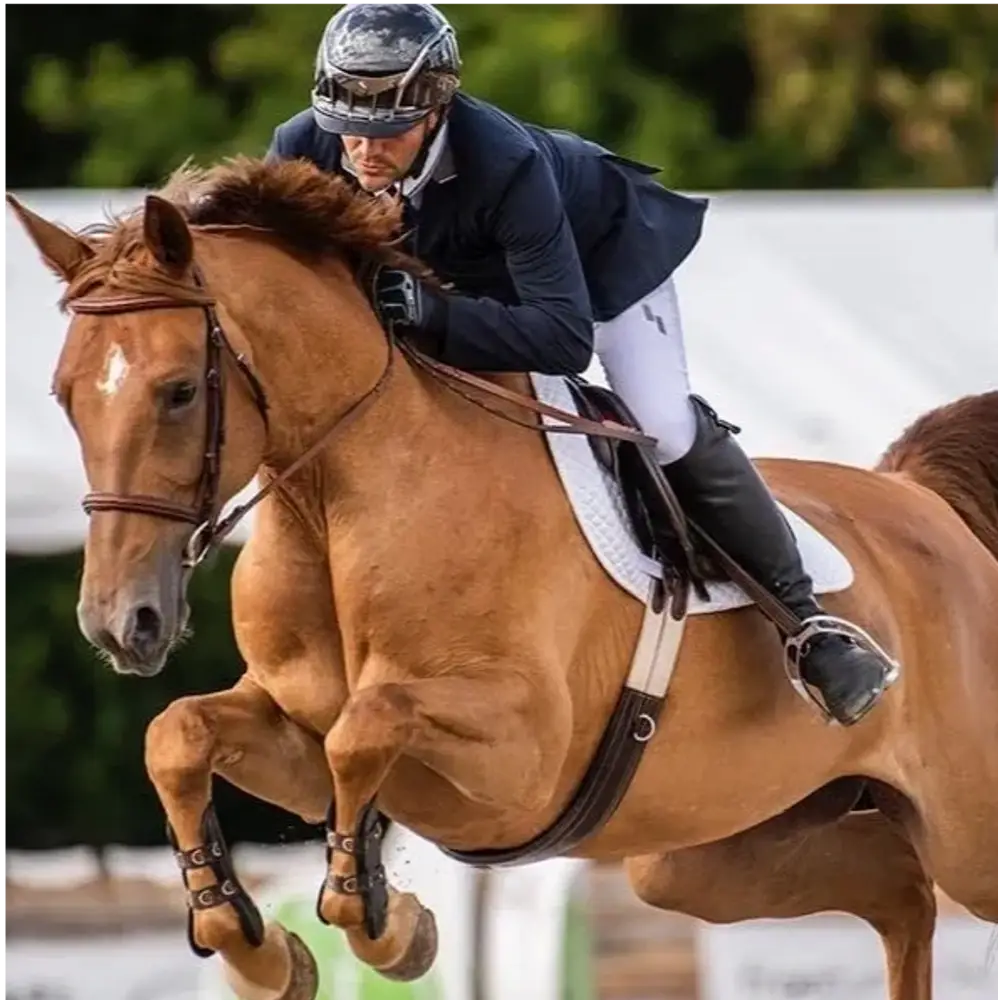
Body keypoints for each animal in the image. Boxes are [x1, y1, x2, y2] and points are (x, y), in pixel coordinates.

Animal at [7, 156, 998, 1000]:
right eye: (65, 396)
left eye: (179, 391)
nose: (119, 622)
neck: (340, 504)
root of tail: (922, 499)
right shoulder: (294, 729)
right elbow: (178, 735)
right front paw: (263, 950)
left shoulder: (520, 761)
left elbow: (366, 728)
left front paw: (383, 927)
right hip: (705, 848)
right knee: (900, 894)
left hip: (961, 829)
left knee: (926, 884)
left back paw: (841, 664)